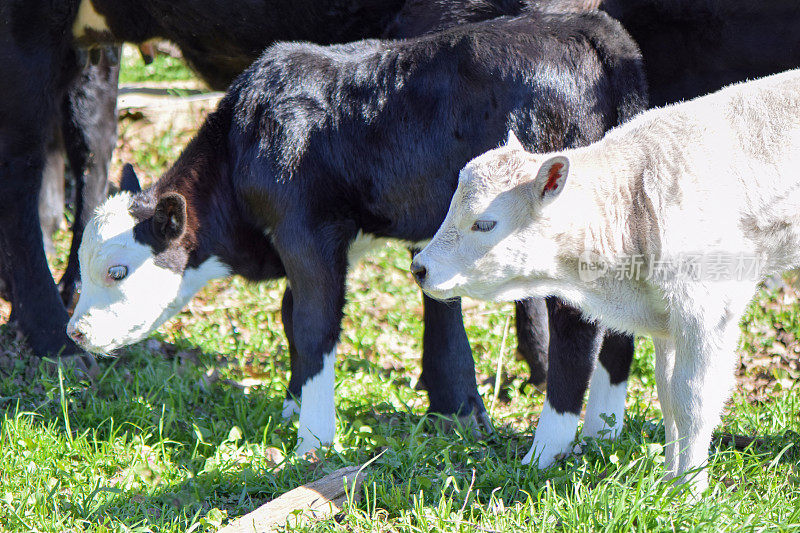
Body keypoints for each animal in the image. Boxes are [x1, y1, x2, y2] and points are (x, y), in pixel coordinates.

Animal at [412, 69, 800, 490]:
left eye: (484, 223)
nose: (420, 267)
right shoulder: (666, 319)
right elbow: (668, 395)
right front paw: (668, 479)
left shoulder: (708, 309)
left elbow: (694, 399)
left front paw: (689, 488)